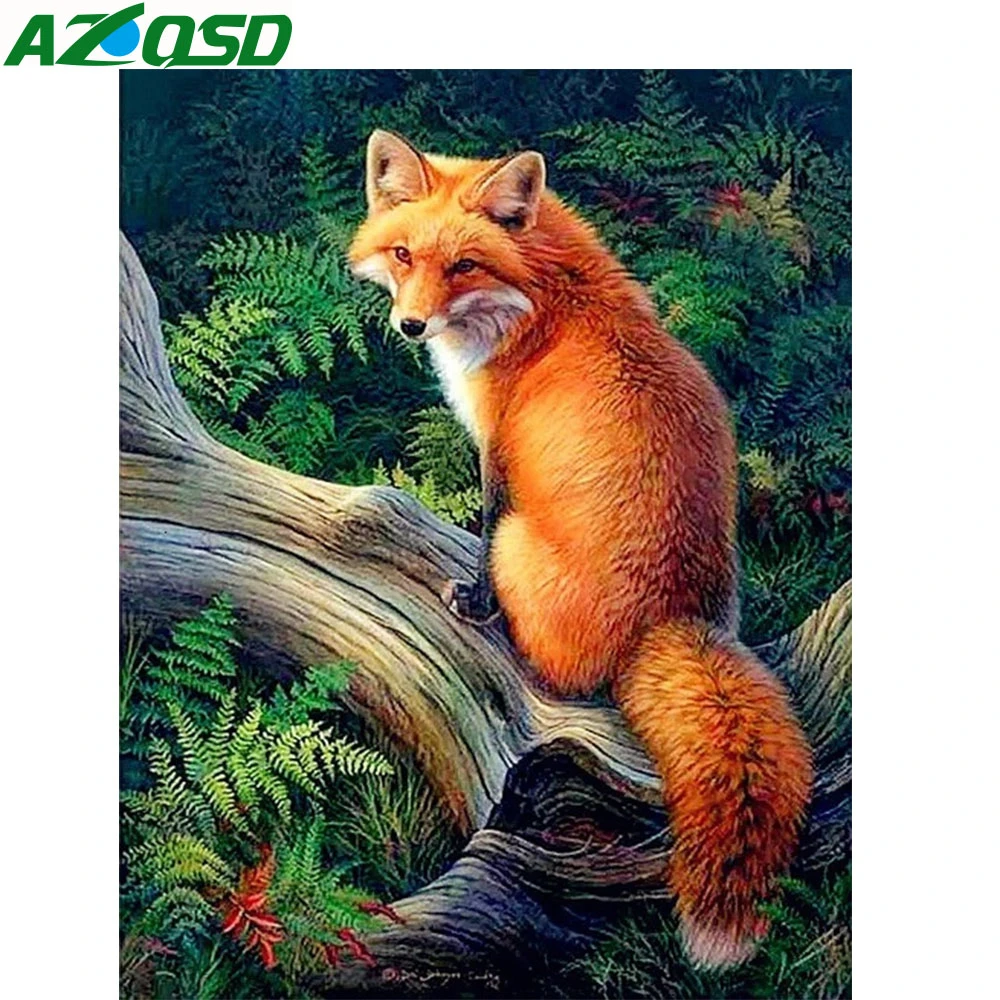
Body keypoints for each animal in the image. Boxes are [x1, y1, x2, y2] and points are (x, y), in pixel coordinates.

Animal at [348, 129, 813, 969]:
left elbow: (481, 526)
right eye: (403, 255)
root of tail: (675, 620)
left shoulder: (498, 452)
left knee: (551, 668)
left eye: (463, 266)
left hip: (521, 547)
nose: (411, 327)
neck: (547, 296)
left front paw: (473, 602)